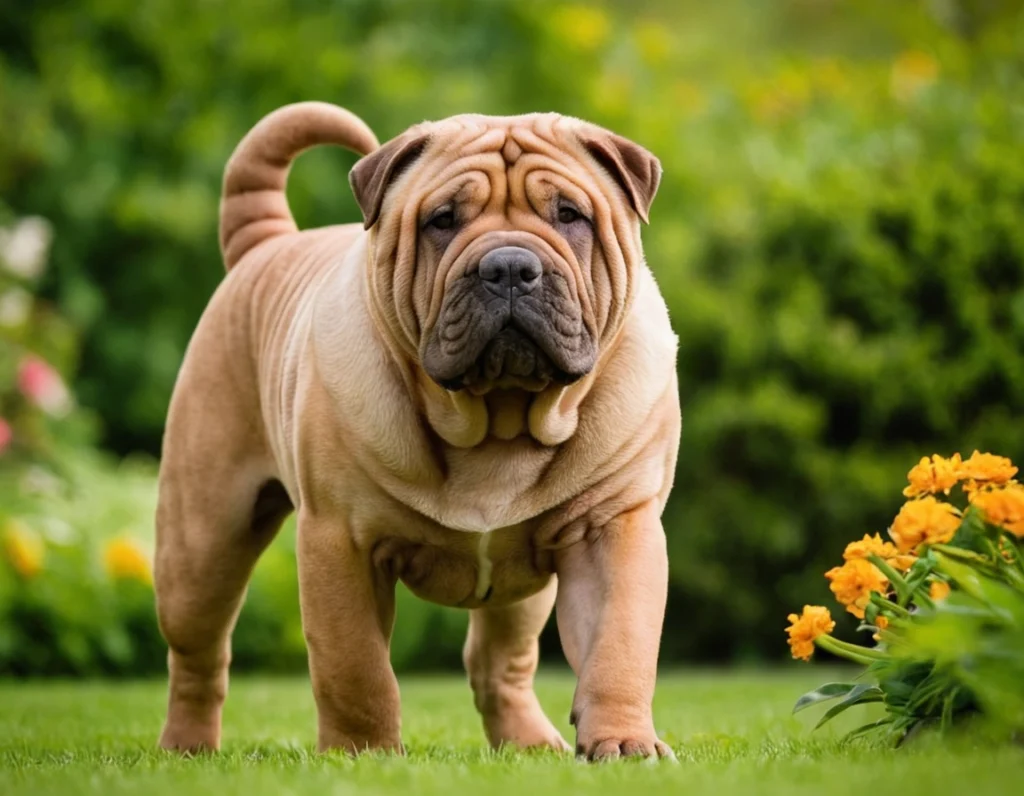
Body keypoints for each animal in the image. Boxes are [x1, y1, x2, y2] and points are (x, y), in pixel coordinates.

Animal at [153, 102, 679, 762]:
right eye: (442, 220)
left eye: (570, 215)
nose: (510, 266)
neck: (498, 420)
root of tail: (266, 242)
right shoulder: (341, 541)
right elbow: (355, 668)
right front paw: (363, 753)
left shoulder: (613, 526)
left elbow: (620, 643)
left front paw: (623, 741)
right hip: (202, 542)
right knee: (197, 654)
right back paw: (186, 747)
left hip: (521, 594)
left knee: (499, 662)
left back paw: (528, 743)